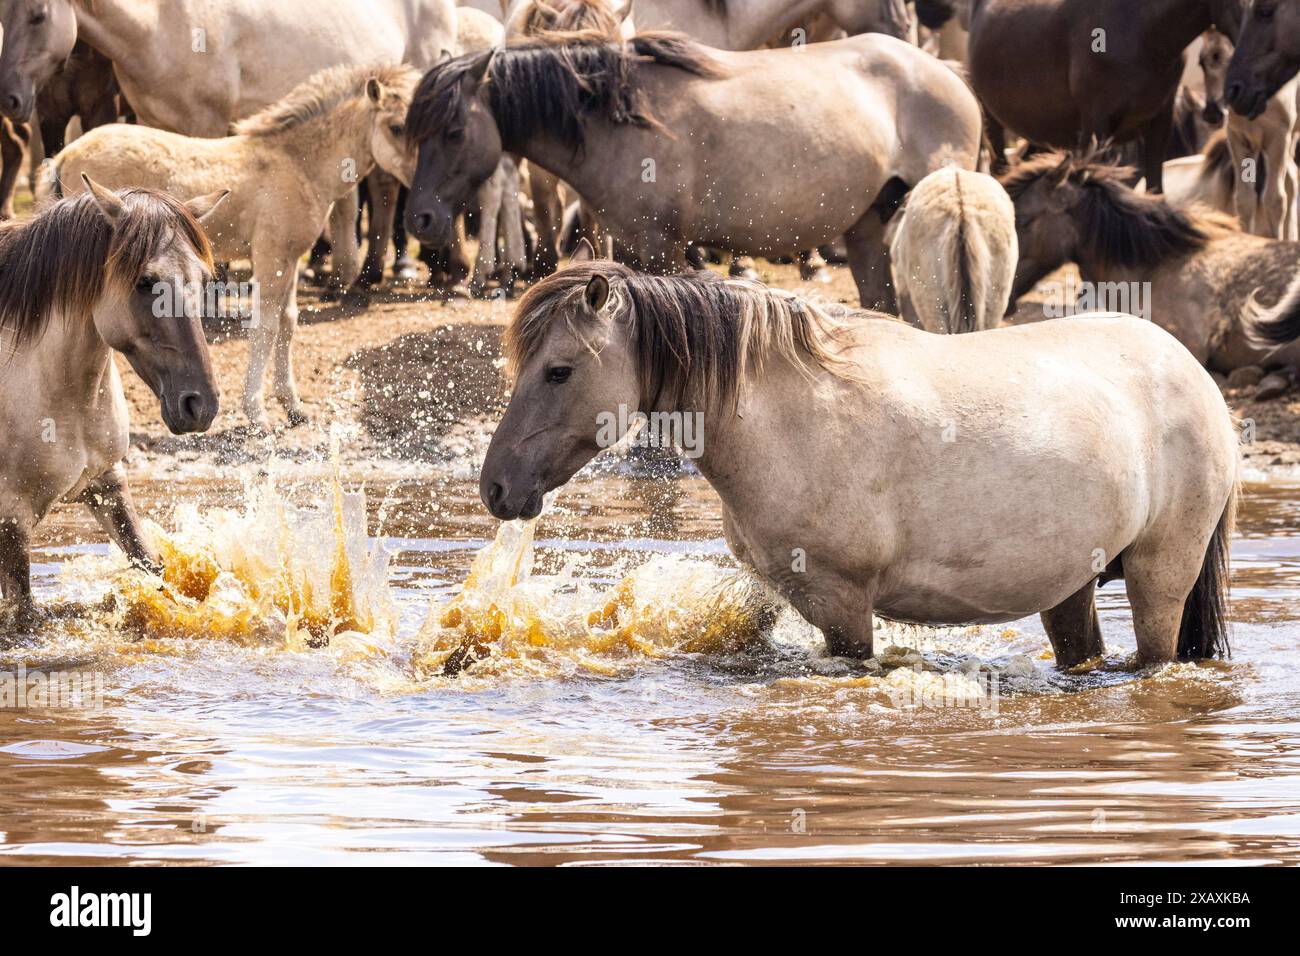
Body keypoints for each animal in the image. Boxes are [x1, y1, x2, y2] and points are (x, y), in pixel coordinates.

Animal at [0, 179, 226, 621]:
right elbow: (25, 616)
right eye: (145, 281)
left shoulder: (107, 484)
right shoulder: (11, 521)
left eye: (204, 280)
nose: (200, 405)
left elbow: (152, 565)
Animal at [480, 247, 1237, 665]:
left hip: (1160, 576)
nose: (496, 488)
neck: (785, 417)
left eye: (558, 372)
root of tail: (1194, 374)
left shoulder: (843, 605)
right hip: (1072, 585)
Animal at [972, 0, 1242, 192]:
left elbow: (1155, 190)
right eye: (1206, 61)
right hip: (991, 123)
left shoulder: (1159, 125)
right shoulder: (1096, 126)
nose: (1214, 113)